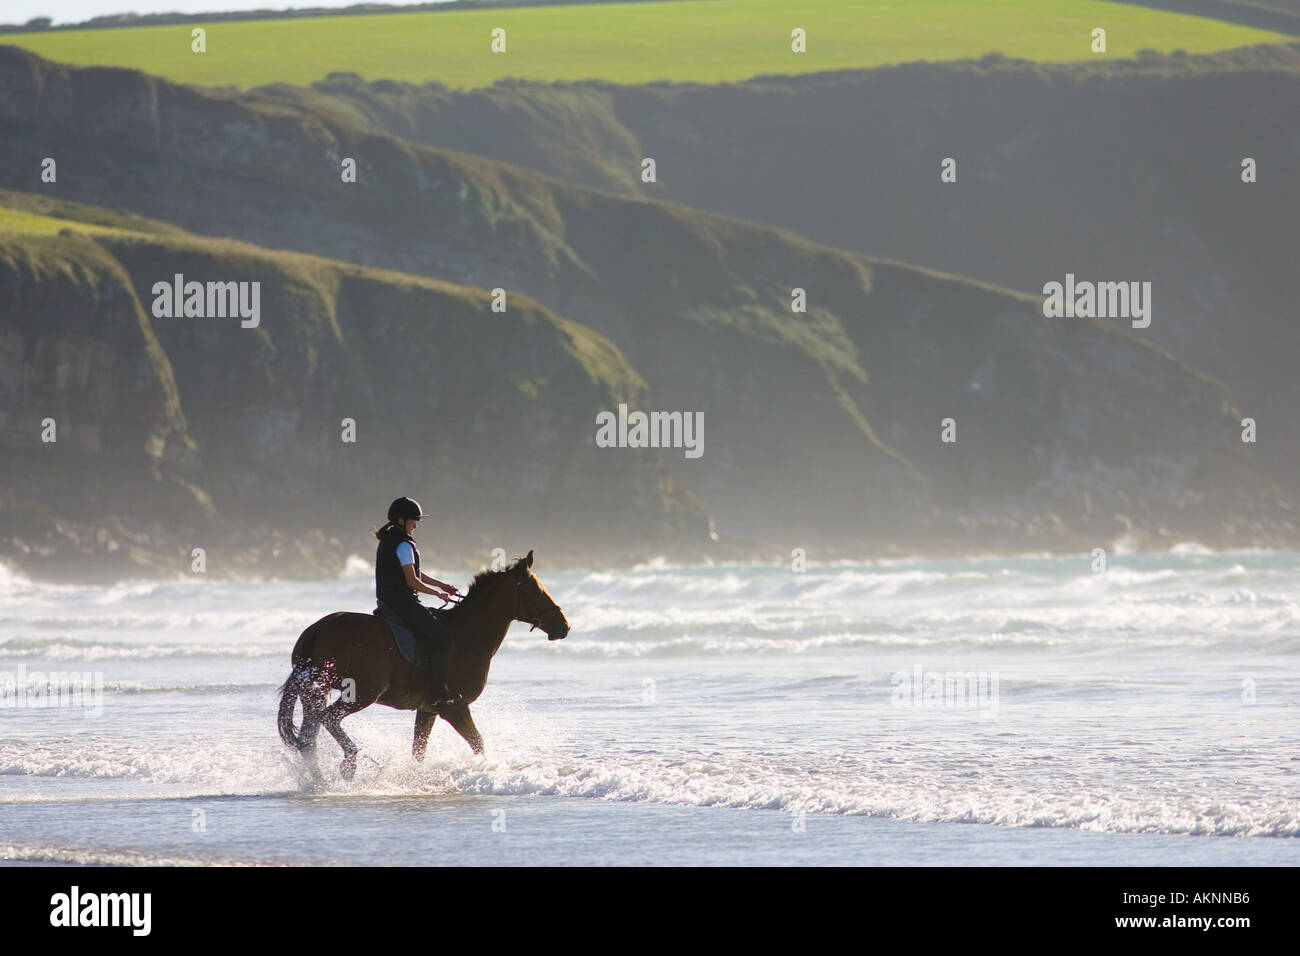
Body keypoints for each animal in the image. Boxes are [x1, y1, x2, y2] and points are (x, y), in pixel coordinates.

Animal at [277, 550, 568, 783]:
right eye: (536, 590)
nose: (563, 626)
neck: (467, 635)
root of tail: (317, 630)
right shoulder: (454, 707)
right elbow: (478, 744)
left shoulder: (428, 709)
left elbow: (419, 751)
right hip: (362, 691)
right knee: (328, 719)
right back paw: (349, 763)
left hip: (315, 691)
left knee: (309, 738)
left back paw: (318, 782)